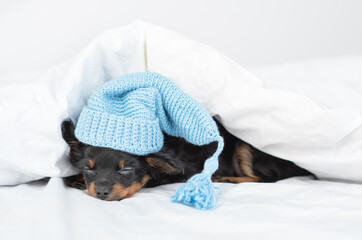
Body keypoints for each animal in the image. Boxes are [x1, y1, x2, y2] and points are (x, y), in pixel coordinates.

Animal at [60, 118, 312, 201]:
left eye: (126, 170)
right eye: (89, 169)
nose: (101, 192)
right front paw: (77, 180)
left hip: (247, 145)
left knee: (266, 178)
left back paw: (227, 178)